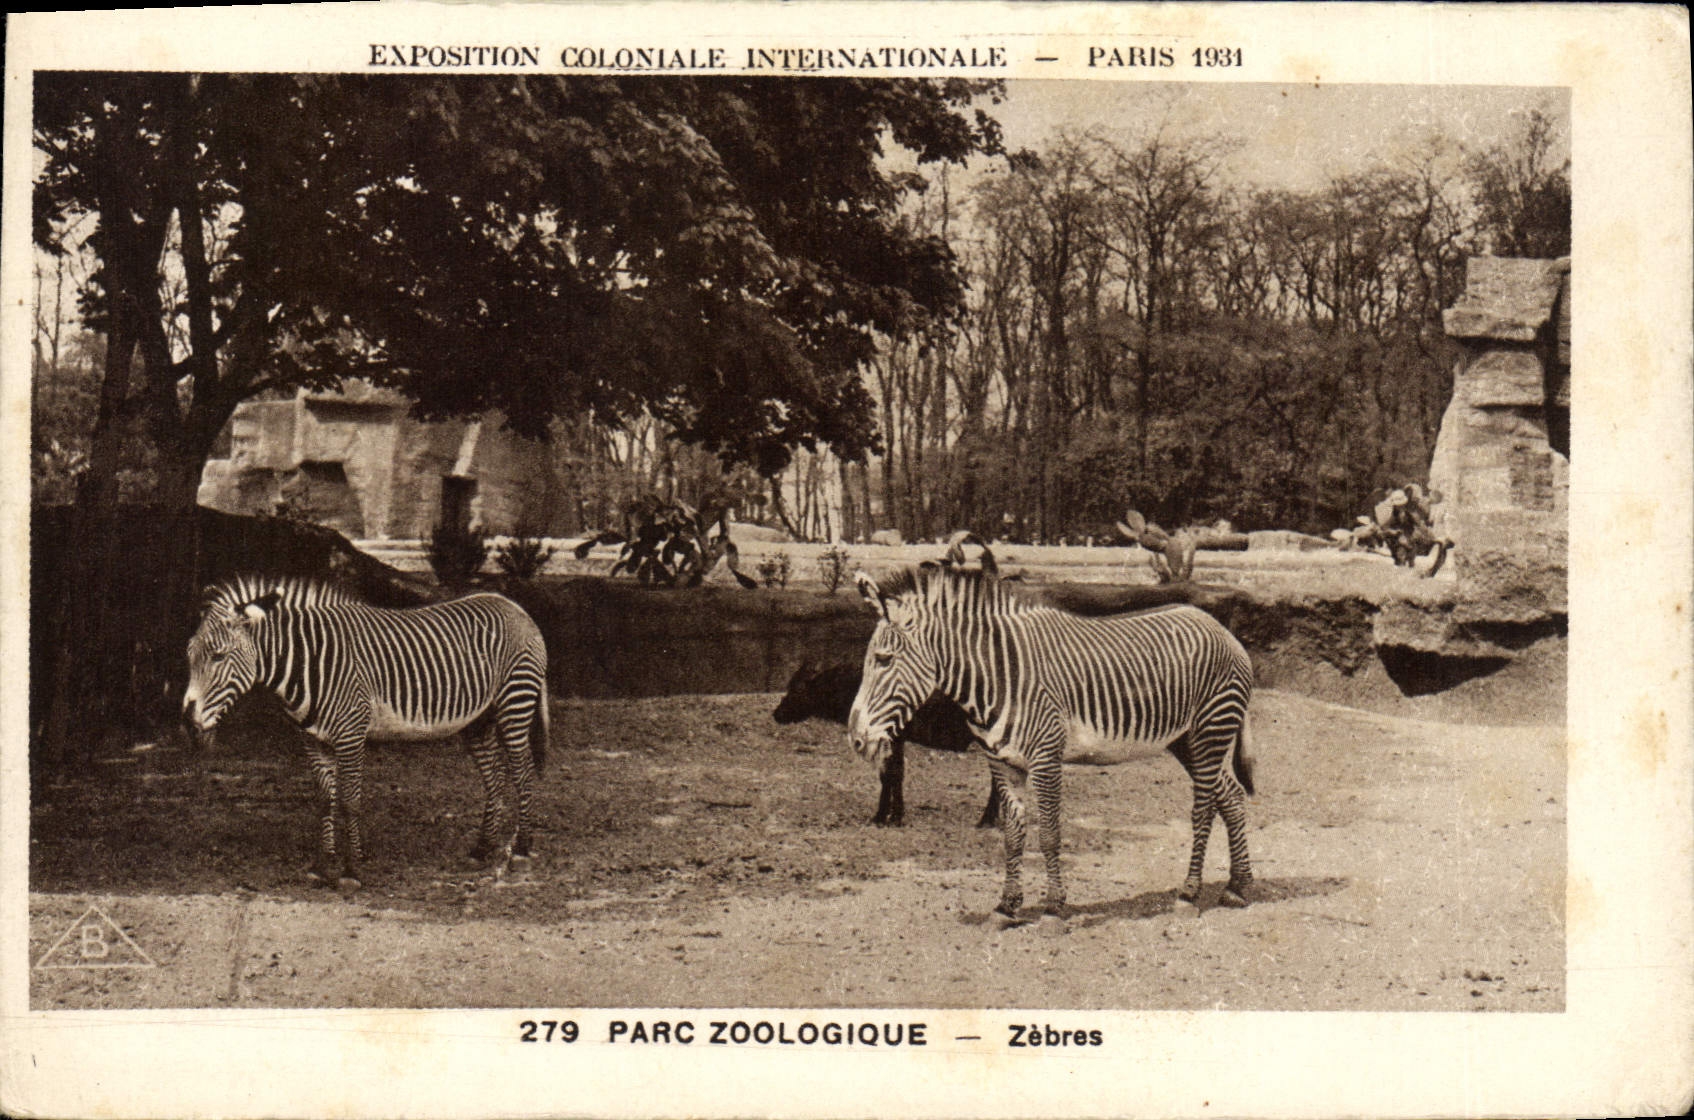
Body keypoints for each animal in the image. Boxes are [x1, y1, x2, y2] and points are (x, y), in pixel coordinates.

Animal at [182, 575, 549, 889]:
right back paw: (482, 849)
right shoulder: (313, 740)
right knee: (495, 777)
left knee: (523, 773)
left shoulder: (351, 735)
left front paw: (350, 870)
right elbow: (325, 799)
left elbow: (349, 801)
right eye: (188, 655)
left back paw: (520, 850)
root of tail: (513, 605)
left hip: (514, 703)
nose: (186, 718)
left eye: (219, 656)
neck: (308, 663)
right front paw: (323, 865)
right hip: (479, 720)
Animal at [846, 562, 1257, 924]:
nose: (856, 738)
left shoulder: (1046, 758)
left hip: (1210, 730)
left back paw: (1189, 894)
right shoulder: (1003, 762)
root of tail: (1219, 627)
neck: (996, 676)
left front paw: (1053, 908)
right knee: (1231, 795)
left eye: (883, 660)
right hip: (1187, 740)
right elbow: (1013, 835)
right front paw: (1006, 906)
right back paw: (1239, 887)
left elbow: (1049, 834)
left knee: (1204, 809)